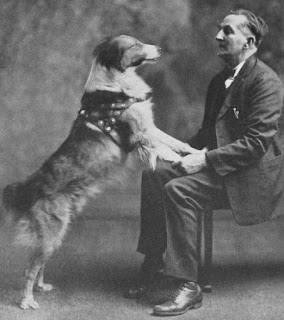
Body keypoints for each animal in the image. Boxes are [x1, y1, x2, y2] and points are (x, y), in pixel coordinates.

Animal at [2, 35, 202, 310]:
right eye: (134, 45)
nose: (160, 49)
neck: (116, 86)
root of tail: (33, 184)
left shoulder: (149, 127)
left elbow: (174, 141)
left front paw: (196, 151)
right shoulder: (140, 134)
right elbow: (164, 148)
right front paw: (185, 161)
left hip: (56, 233)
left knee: (40, 264)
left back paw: (41, 287)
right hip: (51, 231)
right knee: (29, 268)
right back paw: (27, 301)